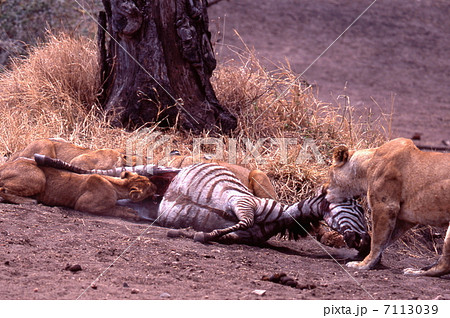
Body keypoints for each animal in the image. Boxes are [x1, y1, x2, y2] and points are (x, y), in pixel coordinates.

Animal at [0, 158, 156, 220]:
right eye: (149, 187)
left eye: (148, 181)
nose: (155, 186)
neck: (118, 186)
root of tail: (4, 165)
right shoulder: (84, 204)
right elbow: (114, 209)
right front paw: (131, 213)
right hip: (39, 177)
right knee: (3, 190)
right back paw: (29, 201)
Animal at [326, 138, 448, 278]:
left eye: (329, 173)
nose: (323, 189)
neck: (366, 167)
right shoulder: (405, 218)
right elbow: (386, 240)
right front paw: (364, 253)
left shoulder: (385, 206)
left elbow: (377, 241)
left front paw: (364, 264)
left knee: (445, 264)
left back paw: (415, 272)